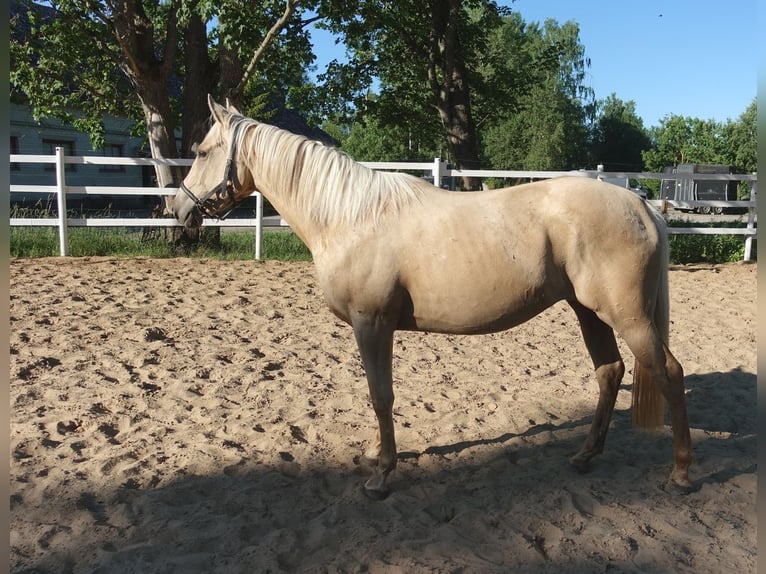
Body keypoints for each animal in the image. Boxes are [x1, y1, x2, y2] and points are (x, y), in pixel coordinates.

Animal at [172, 95, 696, 500]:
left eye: (202, 151)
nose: (177, 208)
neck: (351, 217)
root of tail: (642, 206)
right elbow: (377, 395)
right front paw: (376, 455)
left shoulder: (371, 323)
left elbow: (381, 394)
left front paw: (382, 476)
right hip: (589, 311)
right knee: (610, 372)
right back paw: (585, 456)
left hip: (627, 316)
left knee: (669, 374)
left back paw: (681, 474)